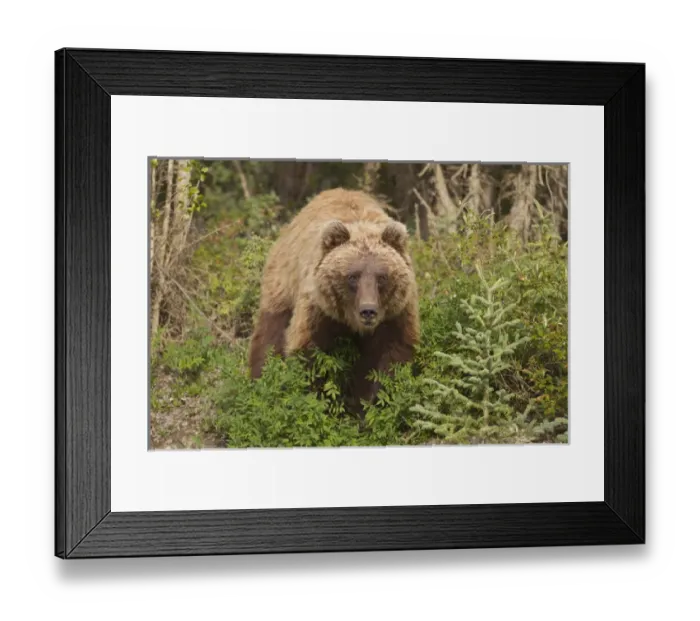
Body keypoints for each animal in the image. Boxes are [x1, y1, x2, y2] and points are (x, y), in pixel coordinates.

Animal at [248, 187, 420, 412]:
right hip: (282, 284)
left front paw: (365, 405)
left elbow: (387, 360)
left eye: (382, 277)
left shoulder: (395, 314)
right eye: (353, 276)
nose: (368, 311)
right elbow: (310, 356)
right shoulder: (318, 309)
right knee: (269, 334)